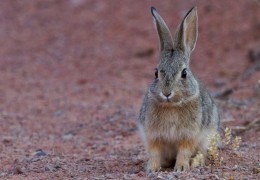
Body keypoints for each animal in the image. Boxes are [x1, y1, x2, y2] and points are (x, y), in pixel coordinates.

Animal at [137, 6, 220, 173]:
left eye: (184, 73)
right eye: (156, 73)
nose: (166, 93)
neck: (172, 106)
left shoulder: (189, 135)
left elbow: (184, 151)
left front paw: (181, 168)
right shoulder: (152, 135)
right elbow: (154, 152)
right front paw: (152, 168)